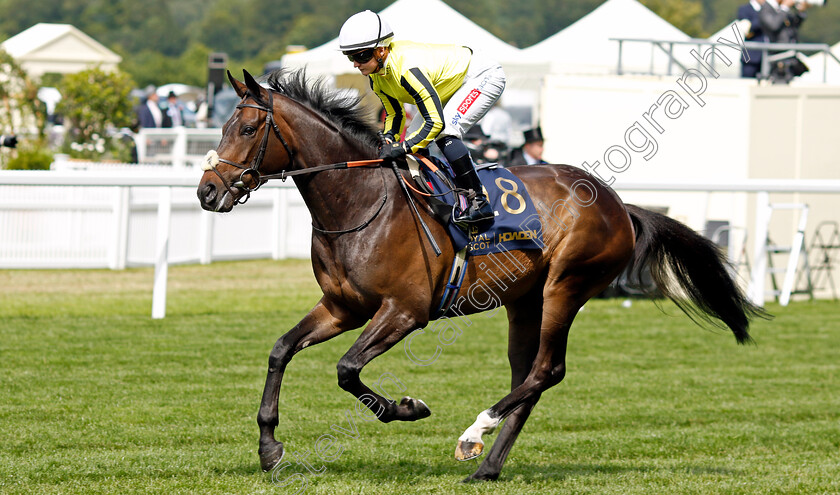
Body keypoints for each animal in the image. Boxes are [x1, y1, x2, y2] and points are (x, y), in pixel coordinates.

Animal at [199, 68, 768, 482]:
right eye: (221, 127)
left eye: (246, 129)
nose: (207, 191)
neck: (359, 205)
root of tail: (620, 205)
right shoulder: (343, 308)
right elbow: (280, 350)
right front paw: (270, 448)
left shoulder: (405, 311)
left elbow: (346, 369)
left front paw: (407, 407)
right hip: (524, 299)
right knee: (528, 376)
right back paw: (489, 465)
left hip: (567, 286)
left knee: (547, 370)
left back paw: (474, 434)